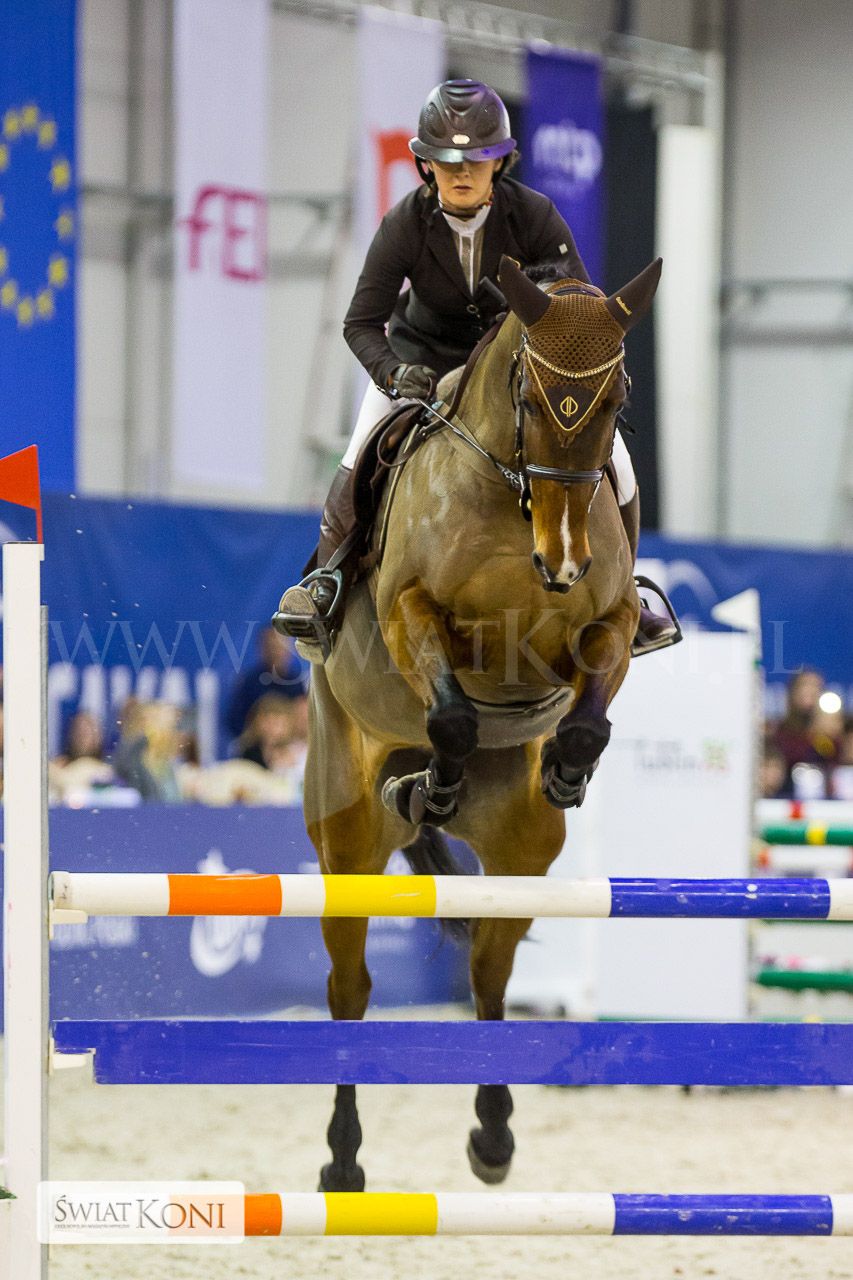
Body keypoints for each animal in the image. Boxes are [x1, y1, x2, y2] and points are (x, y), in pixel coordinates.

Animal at [303, 254, 662, 1192]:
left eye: (615, 400)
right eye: (530, 397)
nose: (561, 563)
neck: (515, 502)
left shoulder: (603, 625)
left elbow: (586, 710)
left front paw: (568, 768)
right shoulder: (410, 614)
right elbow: (456, 717)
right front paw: (429, 779)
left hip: (521, 854)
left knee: (489, 974)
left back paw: (493, 1138)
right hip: (345, 841)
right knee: (349, 991)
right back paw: (342, 1160)